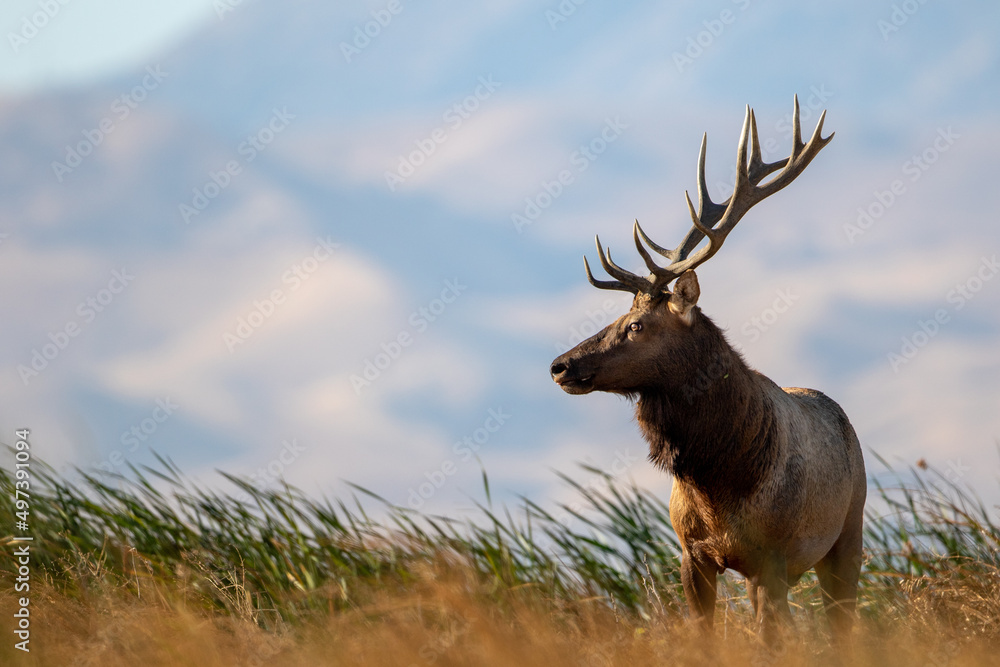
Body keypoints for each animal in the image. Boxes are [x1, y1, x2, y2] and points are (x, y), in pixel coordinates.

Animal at [549, 97, 866, 644]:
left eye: (636, 325)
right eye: (619, 317)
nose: (560, 365)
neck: (718, 484)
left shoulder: (771, 558)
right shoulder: (690, 555)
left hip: (849, 534)